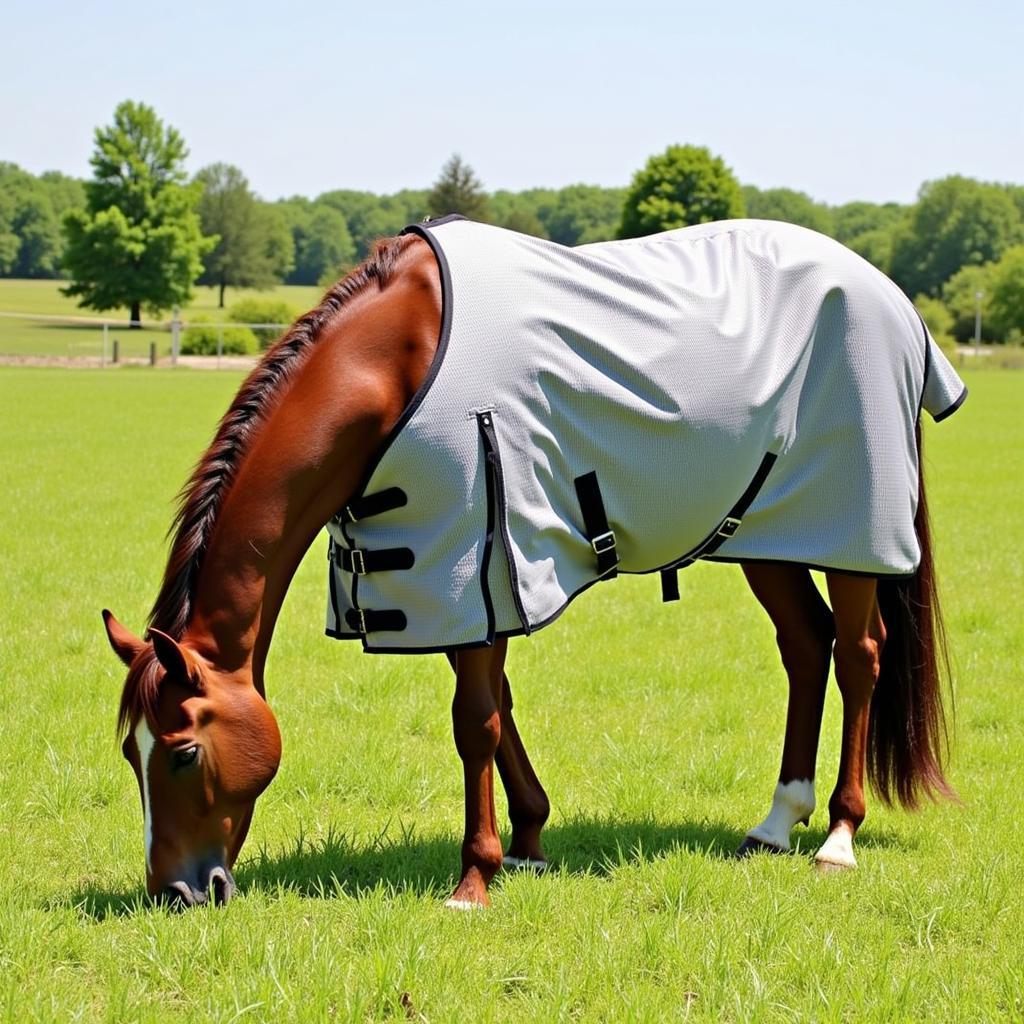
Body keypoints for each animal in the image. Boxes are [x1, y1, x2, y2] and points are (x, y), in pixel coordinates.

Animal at [99, 218, 962, 913]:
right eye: (129, 754)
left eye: (181, 752)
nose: (175, 891)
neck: (400, 364)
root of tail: (894, 302)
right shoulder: (452, 581)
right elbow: (497, 706)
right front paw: (528, 841)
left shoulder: (473, 552)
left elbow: (474, 722)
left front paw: (474, 878)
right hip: (767, 534)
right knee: (806, 647)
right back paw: (779, 821)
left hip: (853, 530)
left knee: (858, 657)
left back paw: (839, 836)